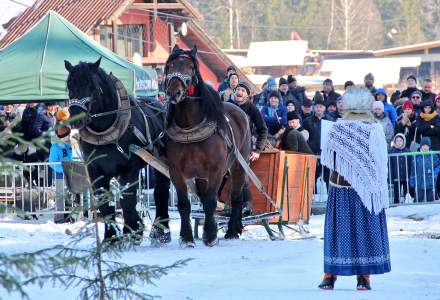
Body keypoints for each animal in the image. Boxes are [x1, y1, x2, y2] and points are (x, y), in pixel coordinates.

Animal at [65, 58, 172, 244]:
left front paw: (132, 231)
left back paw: (161, 231)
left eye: (92, 86)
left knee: (161, 190)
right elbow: (105, 205)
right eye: (69, 85)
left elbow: (128, 201)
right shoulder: (95, 171)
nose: (76, 120)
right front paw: (111, 238)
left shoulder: (129, 170)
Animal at [165, 44, 251, 246]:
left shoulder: (216, 169)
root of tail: (239, 110)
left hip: (238, 166)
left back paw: (232, 230)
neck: (190, 127)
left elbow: (211, 201)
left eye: (190, 67)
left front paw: (211, 235)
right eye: (170, 66)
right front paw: (186, 237)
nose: (173, 92)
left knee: (236, 197)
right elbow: (184, 204)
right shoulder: (176, 171)